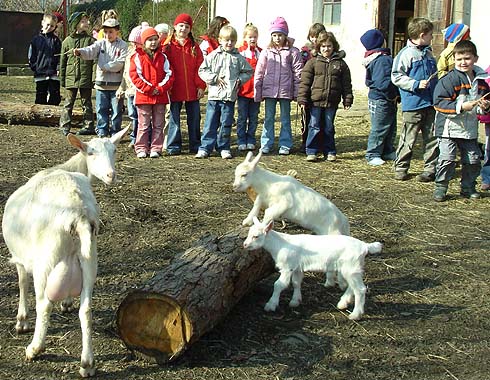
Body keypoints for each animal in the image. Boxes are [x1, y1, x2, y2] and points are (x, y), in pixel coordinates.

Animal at [1, 126, 128, 376]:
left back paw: (34, 348)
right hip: (90, 257)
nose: (111, 175)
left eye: (115, 150)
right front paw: (67, 303)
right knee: (86, 309)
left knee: (44, 304)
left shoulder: (21, 258)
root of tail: (78, 213)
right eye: (90, 152)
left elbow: (22, 283)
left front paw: (21, 321)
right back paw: (87, 364)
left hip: (46, 259)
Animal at [243, 217, 380, 320]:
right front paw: (295, 301)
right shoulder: (297, 267)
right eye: (249, 234)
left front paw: (271, 305)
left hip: (351, 267)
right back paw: (343, 303)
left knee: (360, 289)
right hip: (352, 268)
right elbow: (296, 283)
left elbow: (279, 285)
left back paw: (355, 314)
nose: (245, 245)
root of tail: (365, 246)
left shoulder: (287, 267)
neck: (280, 244)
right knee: (353, 286)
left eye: (256, 236)